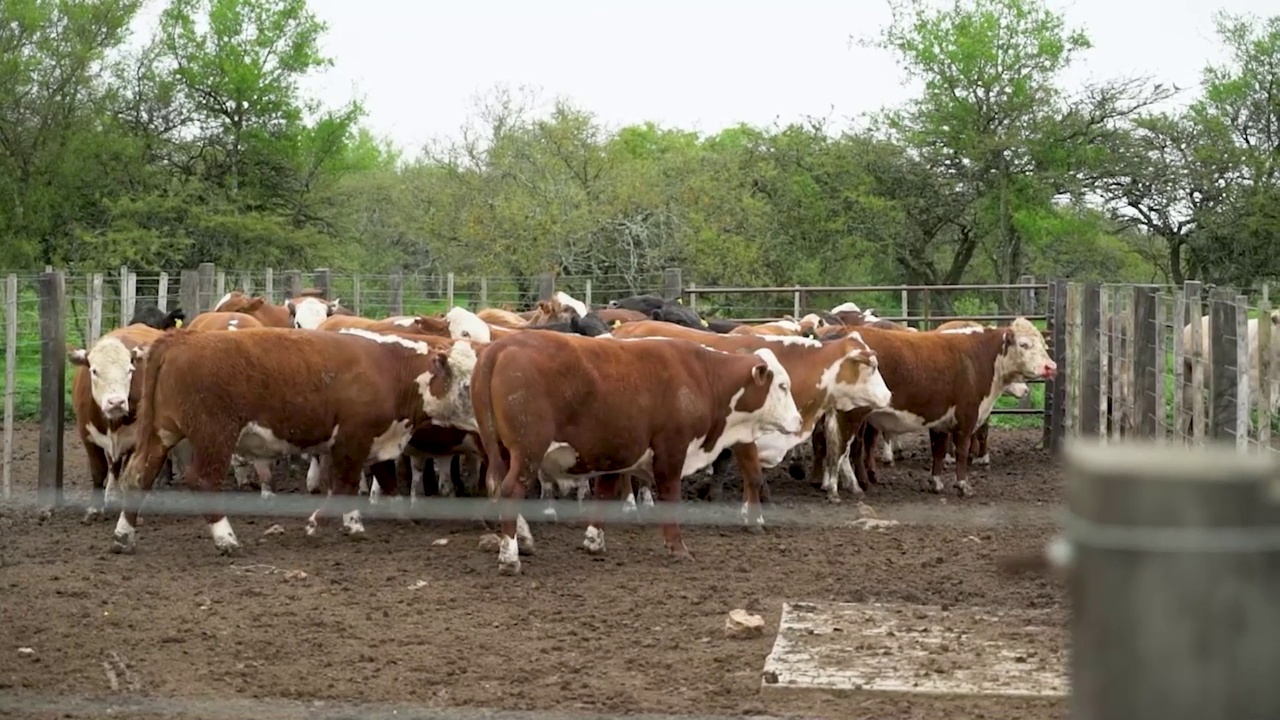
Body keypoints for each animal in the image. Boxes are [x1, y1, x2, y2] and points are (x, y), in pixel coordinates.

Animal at [67, 325, 166, 520]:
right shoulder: (87, 435)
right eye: (94, 371)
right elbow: (99, 470)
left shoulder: (137, 440)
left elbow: (131, 474)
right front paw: (95, 508)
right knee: (114, 465)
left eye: (130, 370)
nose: (116, 403)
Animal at [110, 325, 478, 556]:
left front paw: (353, 523)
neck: (391, 369)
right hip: (215, 435)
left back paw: (124, 536)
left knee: (139, 476)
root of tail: (180, 339)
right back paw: (226, 539)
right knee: (202, 480)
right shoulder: (353, 438)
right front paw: (317, 524)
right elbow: (343, 483)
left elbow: (358, 482)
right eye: (466, 385)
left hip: (162, 432)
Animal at [471, 327, 798, 568]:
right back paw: (510, 556)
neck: (702, 376)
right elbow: (670, 497)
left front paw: (594, 541)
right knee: (511, 489)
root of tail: (501, 347)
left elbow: (604, 493)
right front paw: (678, 548)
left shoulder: (614, 452)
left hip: (499, 450)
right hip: (527, 450)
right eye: (782, 386)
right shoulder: (671, 451)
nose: (797, 420)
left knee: (497, 485)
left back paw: (522, 540)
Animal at [814, 316, 1054, 497]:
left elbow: (938, 450)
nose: (1051, 367)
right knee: (843, 446)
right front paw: (964, 485)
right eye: (1024, 344)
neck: (980, 357)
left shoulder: (940, 420)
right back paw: (848, 485)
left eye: (1044, 345)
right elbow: (962, 450)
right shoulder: (966, 417)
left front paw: (936, 483)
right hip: (851, 413)